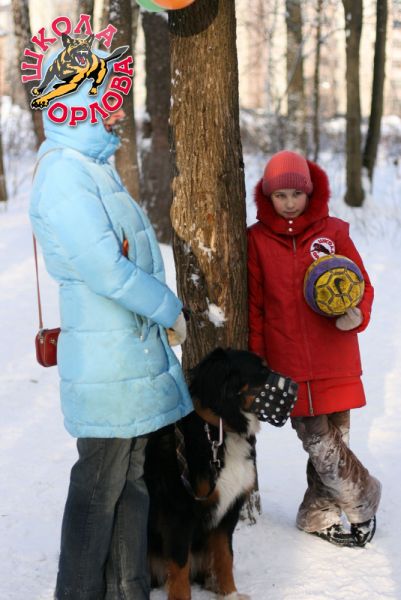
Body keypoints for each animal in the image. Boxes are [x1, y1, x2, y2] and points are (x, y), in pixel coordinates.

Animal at [144, 348, 298, 600]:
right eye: (262, 370)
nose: (297, 386)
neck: (220, 432)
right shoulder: (179, 511)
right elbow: (179, 566)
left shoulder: (229, 509)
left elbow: (225, 555)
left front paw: (230, 594)